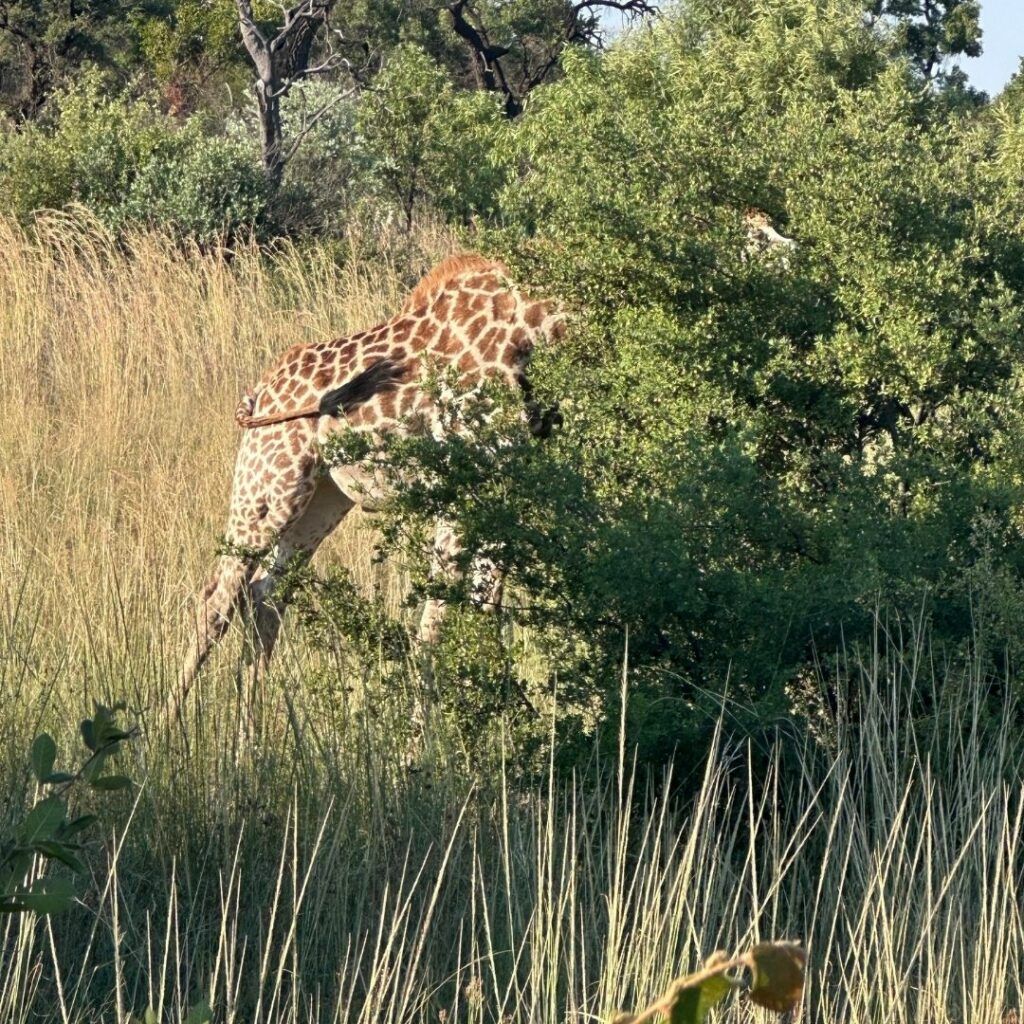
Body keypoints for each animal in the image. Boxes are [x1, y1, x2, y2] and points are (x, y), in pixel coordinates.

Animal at [175, 253, 563, 710]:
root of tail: (259, 392)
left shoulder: (501, 489)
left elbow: (483, 614)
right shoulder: (461, 484)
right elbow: (434, 625)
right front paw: (427, 731)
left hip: (321, 499)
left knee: (264, 597)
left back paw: (250, 727)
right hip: (268, 486)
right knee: (217, 600)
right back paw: (168, 722)